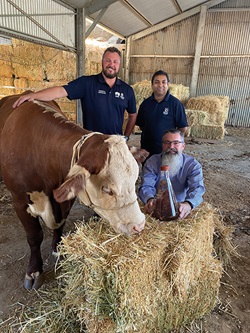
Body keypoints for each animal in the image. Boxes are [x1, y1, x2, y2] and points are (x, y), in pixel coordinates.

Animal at [0, 91, 146, 288]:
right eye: (107, 189)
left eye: (134, 179)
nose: (139, 225)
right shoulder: (20, 201)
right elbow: (34, 236)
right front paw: (34, 270)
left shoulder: (65, 199)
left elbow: (60, 224)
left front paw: (58, 248)